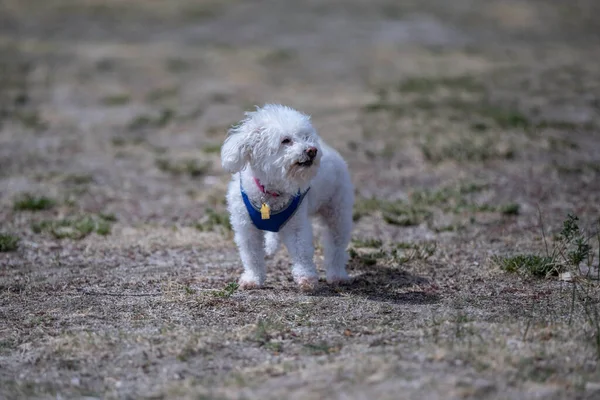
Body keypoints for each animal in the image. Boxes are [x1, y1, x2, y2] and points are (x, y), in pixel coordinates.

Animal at [220, 104, 354, 290]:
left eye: (305, 137)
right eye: (286, 140)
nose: (312, 150)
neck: (270, 192)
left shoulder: (297, 225)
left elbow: (301, 251)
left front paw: (306, 277)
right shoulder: (246, 227)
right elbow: (251, 255)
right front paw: (253, 279)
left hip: (337, 213)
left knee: (336, 246)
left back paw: (337, 275)